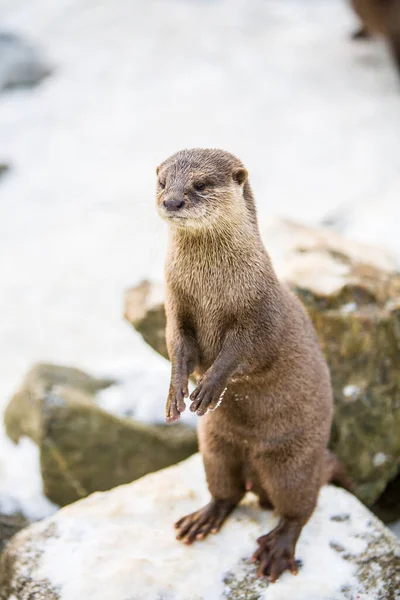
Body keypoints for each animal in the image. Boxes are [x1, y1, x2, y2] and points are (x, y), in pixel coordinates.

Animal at [155, 148, 348, 584]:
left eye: (201, 184)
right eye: (162, 182)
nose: (172, 201)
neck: (211, 290)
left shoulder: (261, 315)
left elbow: (242, 353)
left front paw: (208, 388)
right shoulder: (176, 306)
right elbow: (176, 346)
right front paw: (176, 394)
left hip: (293, 463)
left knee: (300, 508)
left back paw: (277, 548)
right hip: (215, 448)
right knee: (227, 491)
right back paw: (203, 519)